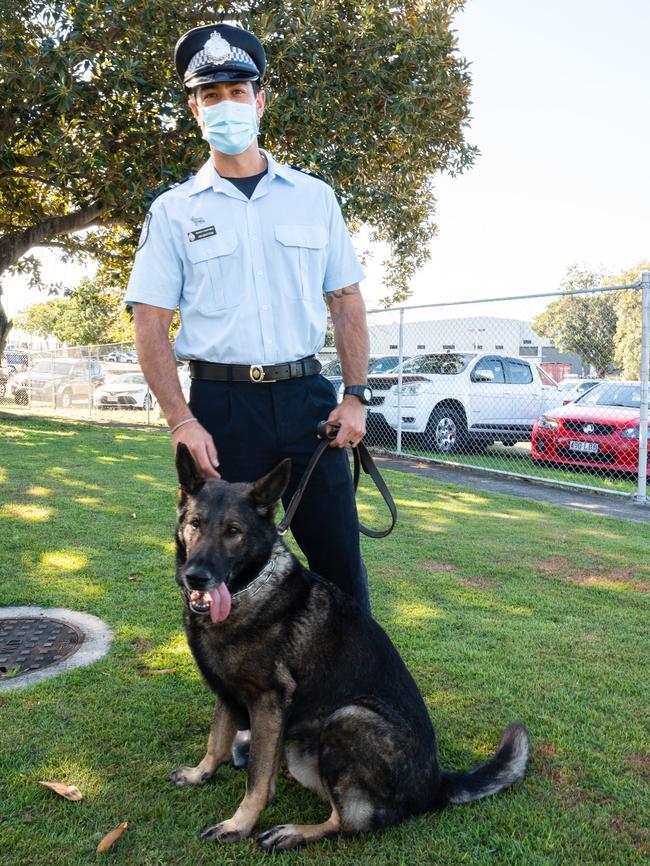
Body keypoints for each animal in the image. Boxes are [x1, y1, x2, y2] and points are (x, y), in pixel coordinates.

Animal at [170, 446, 528, 852]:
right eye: (195, 524)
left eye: (233, 531)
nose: (196, 577)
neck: (251, 589)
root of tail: (437, 783)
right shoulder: (228, 695)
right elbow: (217, 740)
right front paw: (200, 774)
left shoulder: (267, 702)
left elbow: (258, 779)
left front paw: (238, 824)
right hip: (302, 749)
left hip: (348, 718)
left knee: (354, 821)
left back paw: (294, 831)